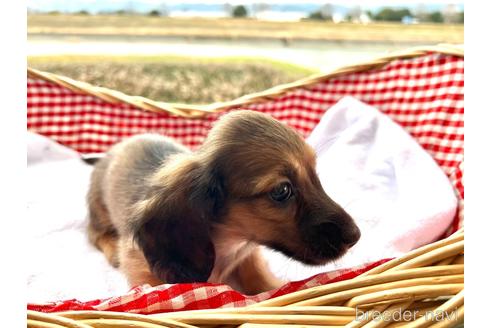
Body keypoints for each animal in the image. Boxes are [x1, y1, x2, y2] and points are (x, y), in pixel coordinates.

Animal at [86, 110, 360, 294]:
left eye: (315, 175)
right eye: (282, 190)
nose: (355, 236)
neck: (231, 245)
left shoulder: (250, 257)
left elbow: (262, 280)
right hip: (99, 208)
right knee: (94, 233)